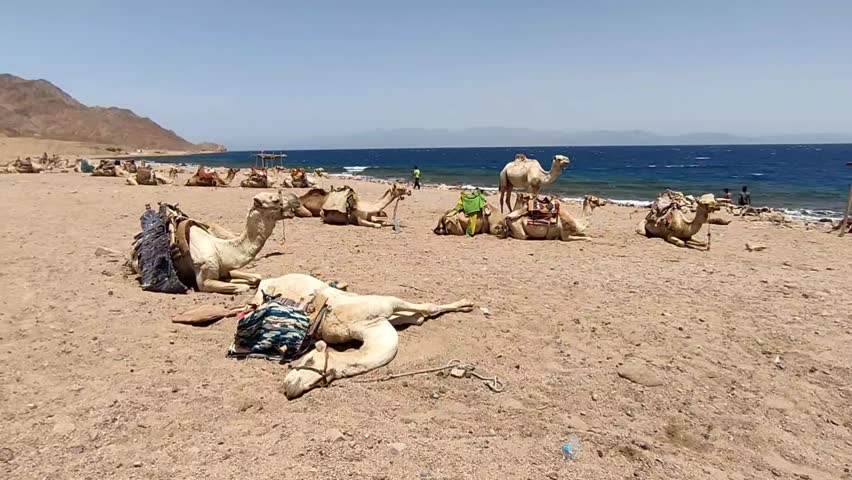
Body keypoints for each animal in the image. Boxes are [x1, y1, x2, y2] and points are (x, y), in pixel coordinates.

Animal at [131, 191, 301, 293]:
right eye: (276, 200)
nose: (296, 199)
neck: (219, 247)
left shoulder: (225, 267)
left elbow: (256, 277)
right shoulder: (204, 280)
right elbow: (242, 287)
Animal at [245, 273, 473, 399]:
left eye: (309, 359)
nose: (288, 386)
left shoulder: (386, 306)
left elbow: (425, 310)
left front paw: (466, 303)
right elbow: (420, 314)